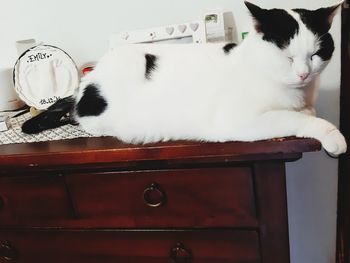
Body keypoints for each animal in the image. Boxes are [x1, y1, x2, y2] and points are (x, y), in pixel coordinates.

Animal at [22, 0, 348, 157]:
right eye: (287, 57)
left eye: (316, 54)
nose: (304, 73)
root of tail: (83, 86)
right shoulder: (240, 121)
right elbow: (299, 119)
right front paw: (332, 136)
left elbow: (307, 111)